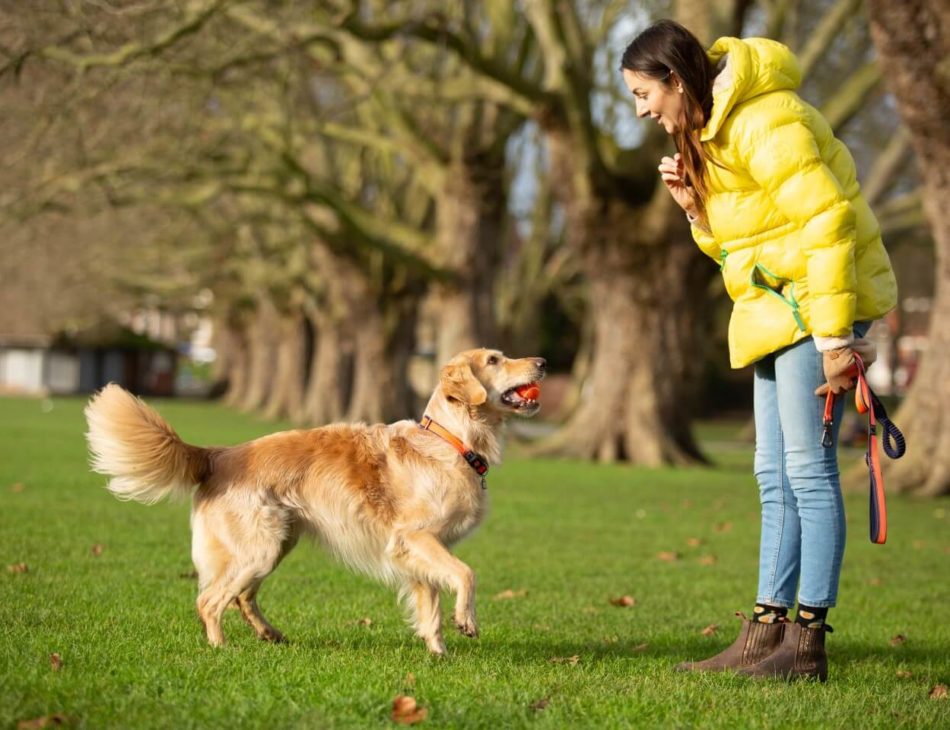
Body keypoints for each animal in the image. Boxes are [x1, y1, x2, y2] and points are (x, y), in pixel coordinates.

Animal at [85, 346, 548, 656]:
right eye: (494, 360)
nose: (543, 363)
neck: (452, 442)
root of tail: (218, 454)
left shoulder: (421, 553)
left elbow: (430, 602)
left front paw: (438, 654)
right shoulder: (416, 538)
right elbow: (467, 574)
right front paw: (465, 621)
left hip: (274, 546)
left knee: (241, 597)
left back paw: (270, 634)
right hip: (258, 548)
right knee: (209, 600)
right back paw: (221, 649)